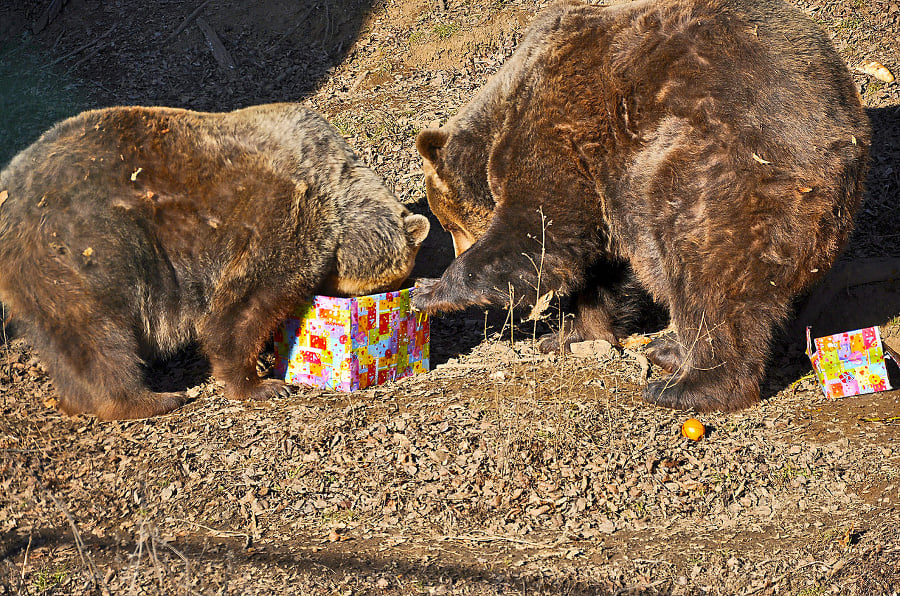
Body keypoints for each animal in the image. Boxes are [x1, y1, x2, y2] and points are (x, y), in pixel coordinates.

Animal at [0, 103, 428, 420]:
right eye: (389, 283)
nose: (383, 305)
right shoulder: (284, 214)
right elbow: (245, 304)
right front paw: (261, 384)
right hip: (86, 245)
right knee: (99, 334)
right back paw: (152, 399)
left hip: (41, 274)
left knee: (68, 338)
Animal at [414, 0, 872, 410]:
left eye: (449, 225)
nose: (452, 247)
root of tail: (842, 137)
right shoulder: (603, 177)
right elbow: (599, 266)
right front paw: (568, 335)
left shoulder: (558, 122)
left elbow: (540, 230)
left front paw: (431, 289)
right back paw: (669, 349)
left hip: (723, 171)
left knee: (705, 273)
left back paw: (687, 386)